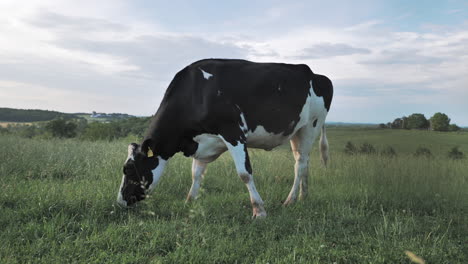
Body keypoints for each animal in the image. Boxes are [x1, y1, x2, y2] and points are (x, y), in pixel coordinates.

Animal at [116, 58, 332, 218]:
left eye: (128, 169)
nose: (120, 202)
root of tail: (314, 74)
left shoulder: (233, 133)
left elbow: (245, 173)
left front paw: (259, 211)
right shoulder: (203, 143)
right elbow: (196, 173)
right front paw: (189, 201)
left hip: (311, 125)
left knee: (300, 164)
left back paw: (290, 200)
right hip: (296, 131)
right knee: (303, 162)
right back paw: (303, 197)